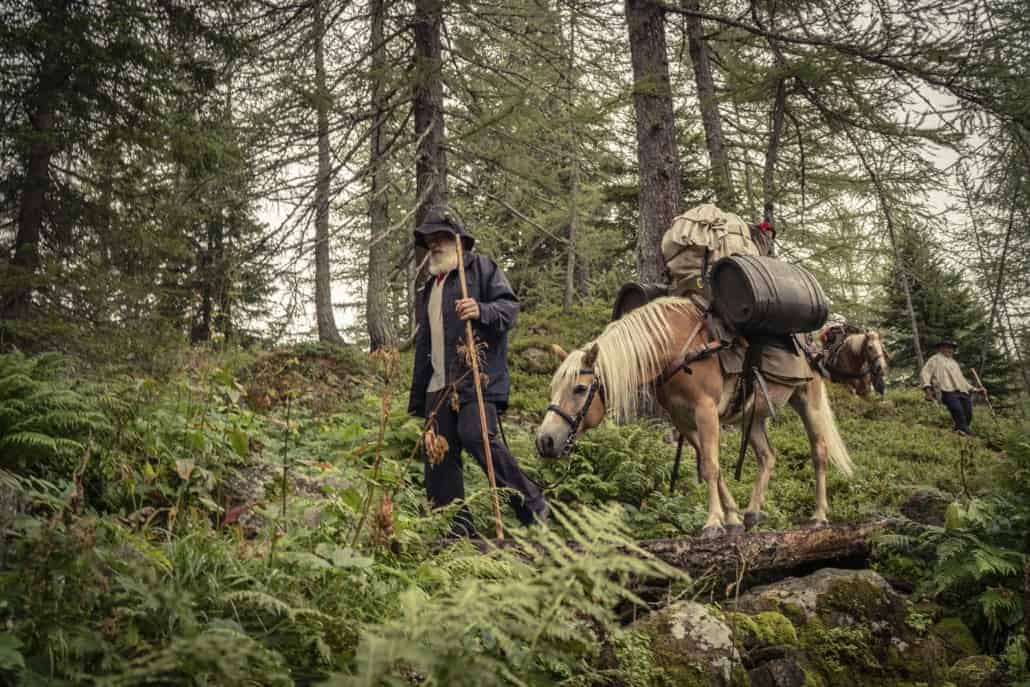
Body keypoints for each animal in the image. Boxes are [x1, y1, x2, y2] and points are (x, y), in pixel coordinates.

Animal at [531, 298, 852, 539]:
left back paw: (819, 516)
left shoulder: (706, 411)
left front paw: (713, 523)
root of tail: (813, 341)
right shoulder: (683, 420)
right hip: (752, 415)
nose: (545, 441)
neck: (675, 348)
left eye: (580, 388)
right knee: (768, 456)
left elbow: (710, 466)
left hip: (806, 399)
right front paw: (732, 519)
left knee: (819, 452)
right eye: (552, 387)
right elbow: (713, 466)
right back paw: (752, 512)